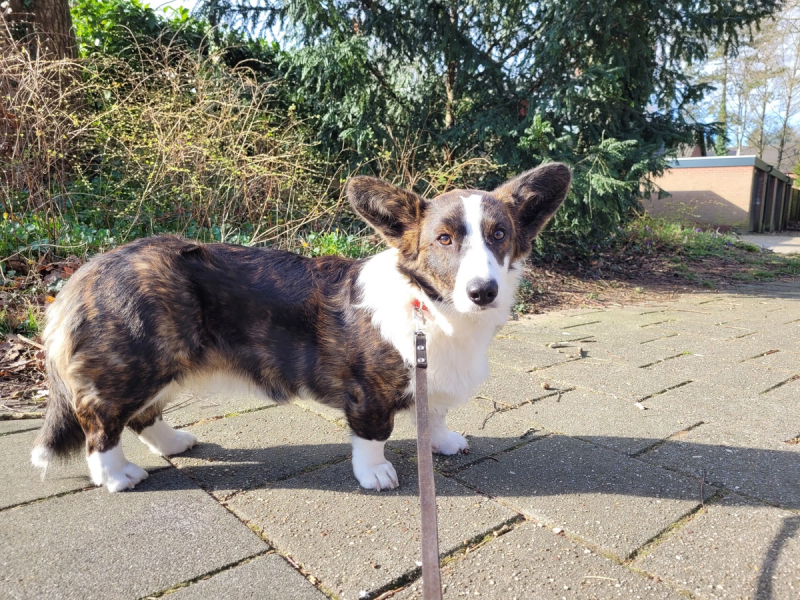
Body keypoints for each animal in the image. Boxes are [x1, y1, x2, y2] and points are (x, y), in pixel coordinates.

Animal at [31, 163, 570, 492]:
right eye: (444, 239)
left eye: (499, 234)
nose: (484, 291)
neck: (433, 308)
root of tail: (81, 277)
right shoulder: (368, 394)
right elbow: (373, 436)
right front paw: (376, 474)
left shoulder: (429, 380)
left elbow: (432, 414)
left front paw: (441, 442)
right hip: (133, 365)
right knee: (102, 423)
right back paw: (116, 475)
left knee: (142, 416)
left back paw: (174, 443)